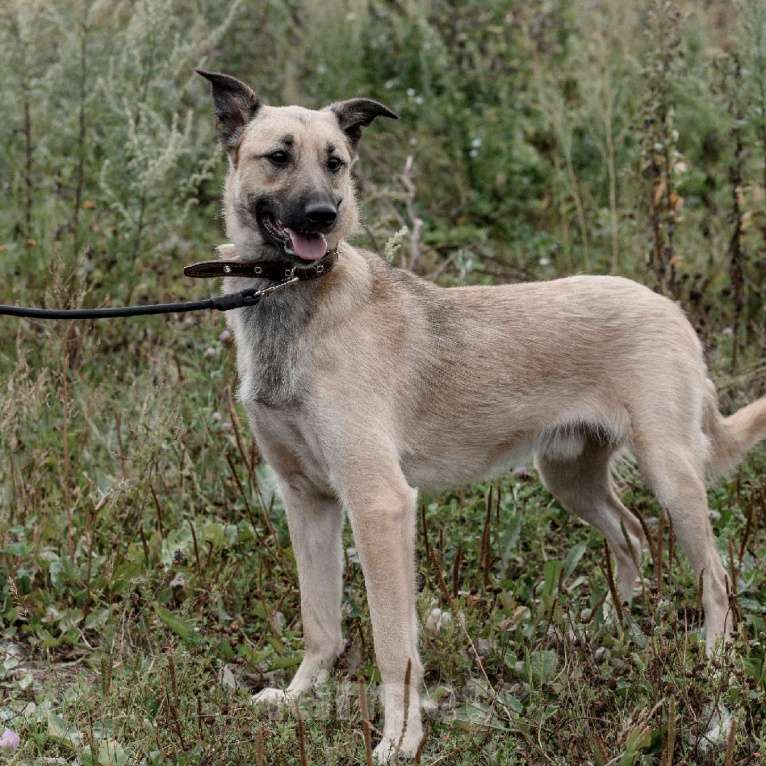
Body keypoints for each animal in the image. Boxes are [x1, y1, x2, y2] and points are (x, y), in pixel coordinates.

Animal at [195, 70, 766, 760]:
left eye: (336, 163)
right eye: (278, 157)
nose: (323, 216)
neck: (294, 298)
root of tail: (670, 306)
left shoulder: (380, 505)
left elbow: (394, 644)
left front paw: (401, 740)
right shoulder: (307, 500)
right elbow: (319, 623)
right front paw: (300, 695)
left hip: (672, 476)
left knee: (716, 581)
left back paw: (714, 681)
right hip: (569, 476)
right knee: (631, 535)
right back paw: (610, 633)